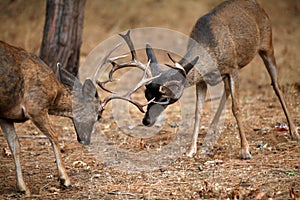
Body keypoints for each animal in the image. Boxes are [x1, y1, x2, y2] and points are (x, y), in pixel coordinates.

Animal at [0, 41, 155, 195]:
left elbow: (15, 146)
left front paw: (22, 187)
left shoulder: (5, 116)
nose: (86, 140)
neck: (55, 93)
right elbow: (54, 136)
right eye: (98, 115)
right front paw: (65, 180)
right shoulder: (35, 106)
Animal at [110, 0, 300, 159]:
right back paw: (212, 130)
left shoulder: (233, 68)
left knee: (276, 85)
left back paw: (294, 132)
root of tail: (257, 5)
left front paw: (245, 150)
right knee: (227, 90)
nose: (146, 121)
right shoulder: (202, 80)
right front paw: (190, 150)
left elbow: (236, 108)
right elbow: (198, 111)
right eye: (147, 96)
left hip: (268, 45)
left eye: (164, 97)